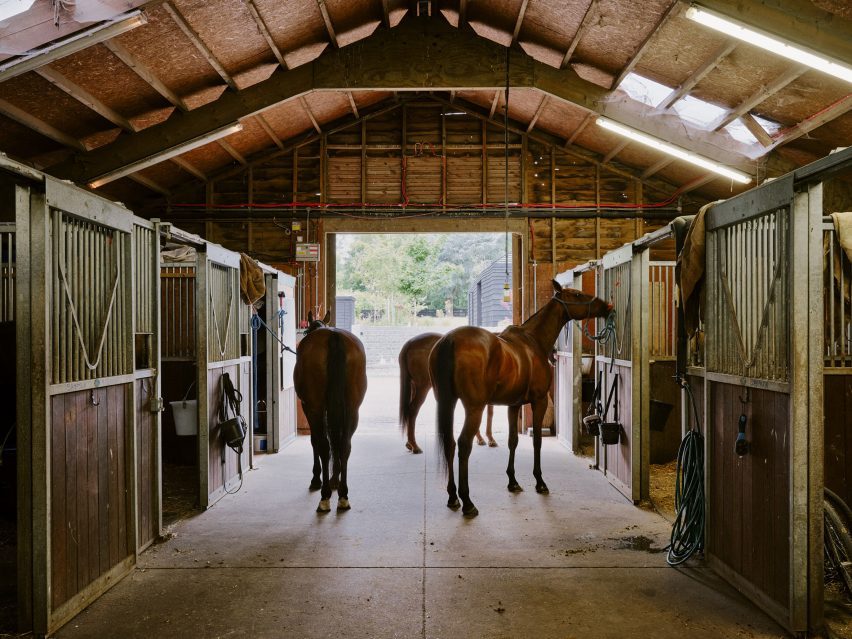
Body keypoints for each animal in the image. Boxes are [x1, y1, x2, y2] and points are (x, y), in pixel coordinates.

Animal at [293, 310, 368, 513]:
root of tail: (334, 337)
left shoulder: (310, 407)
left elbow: (315, 441)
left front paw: (316, 479)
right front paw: (335, 479)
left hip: (316, 408)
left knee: (324, 446)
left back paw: (325, 496)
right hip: (352, 410)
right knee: (344, 445)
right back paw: (342, 495)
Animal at [430, 280, 613, 517]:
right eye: (578, 295)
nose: (606, 306)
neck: (533, 341)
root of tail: (450, 340)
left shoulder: (514, 405)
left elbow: (513, 441)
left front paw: (513, 482)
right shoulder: (539, 401)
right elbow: (537, 441)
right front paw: (540, 482)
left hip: (448, 403)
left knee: (450, 443)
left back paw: (453, 497)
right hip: (474, 408)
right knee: (463, 445)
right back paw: (467, 502)